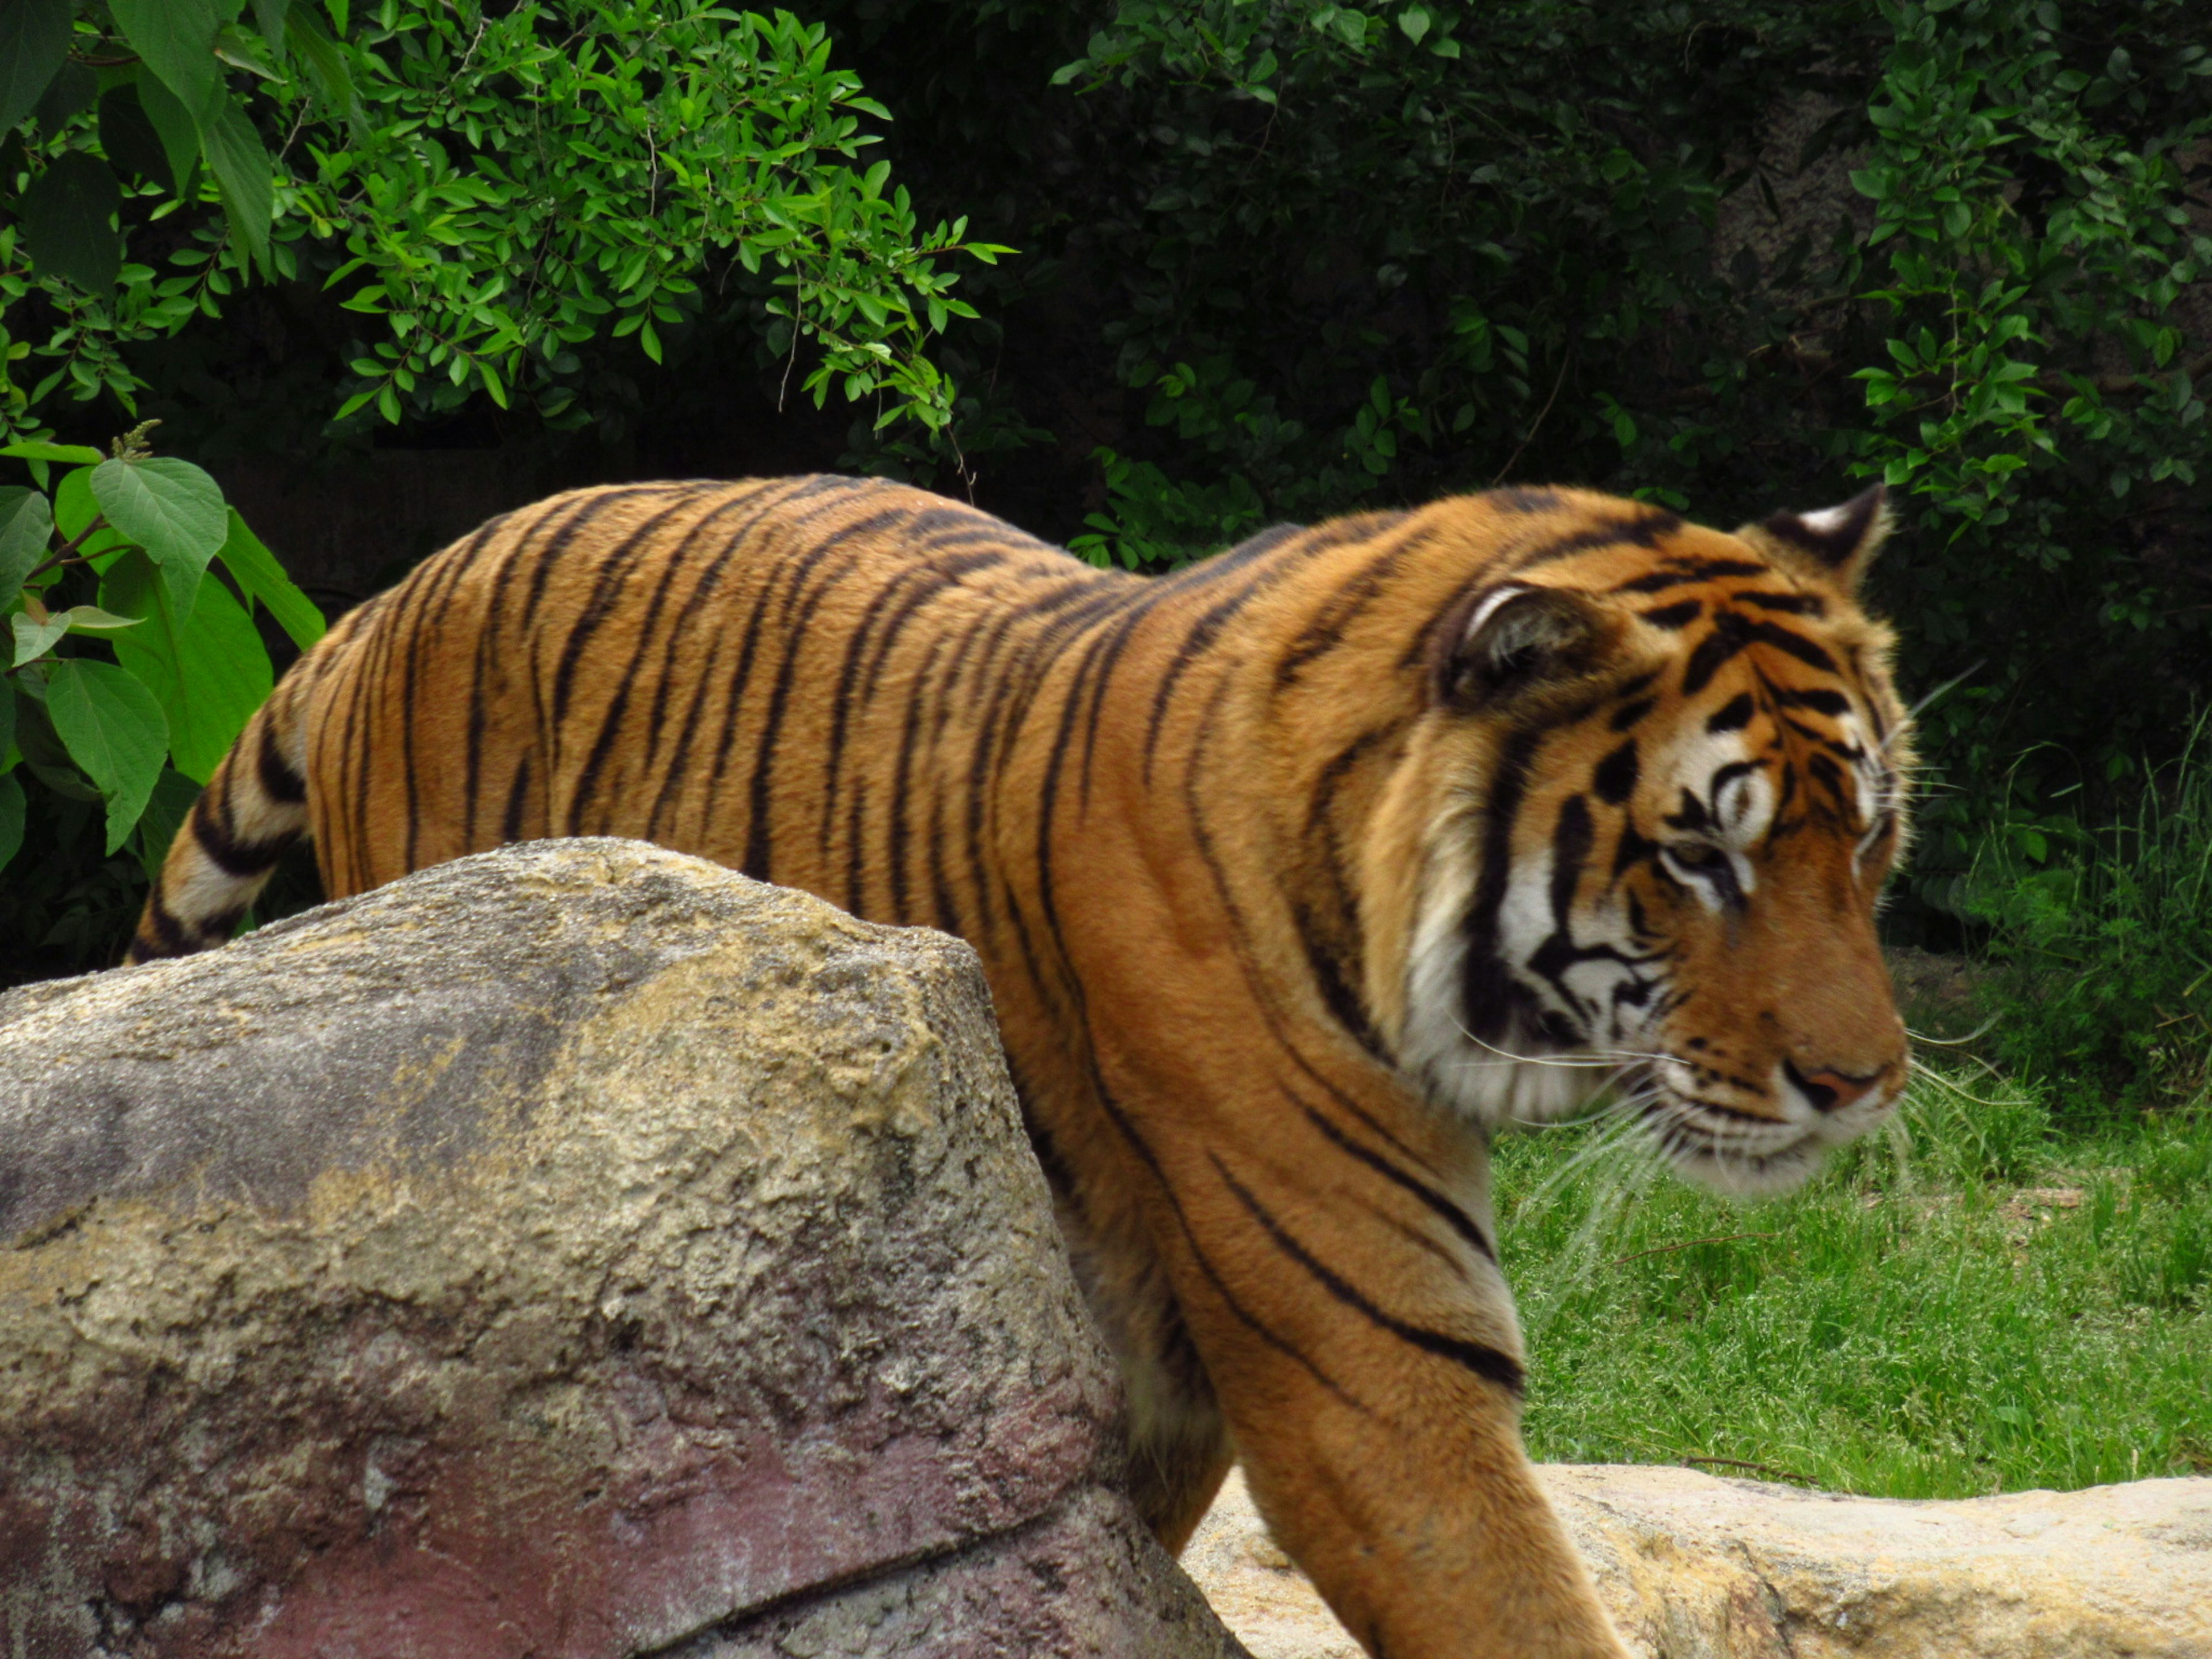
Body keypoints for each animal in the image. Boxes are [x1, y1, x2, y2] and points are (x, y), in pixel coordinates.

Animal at [129, 471, 1911, 1659]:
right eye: (1698, 859)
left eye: (1866, 839)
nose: (1868, 1080)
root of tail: (402, 587)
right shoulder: (1371, 1367)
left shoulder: (1175, 1373)